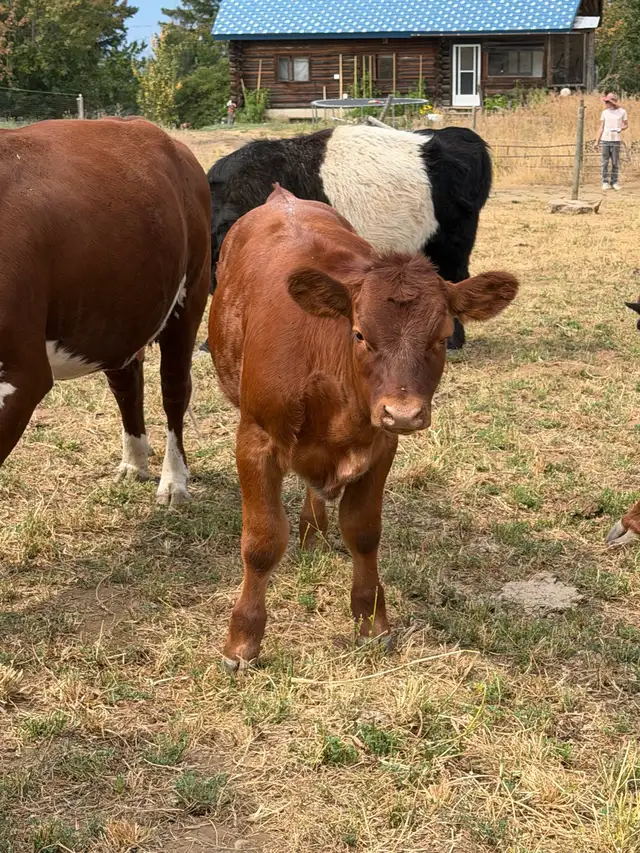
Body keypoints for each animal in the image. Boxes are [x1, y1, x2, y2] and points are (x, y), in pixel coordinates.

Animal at [0, 118, 210, 505]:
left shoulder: (22, 372)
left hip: (191, 293)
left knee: (174, 388)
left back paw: (174, 481)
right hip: (120, 309)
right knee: (126, 382)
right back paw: (134, 462)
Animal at [209, 185, 518, 669]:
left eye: (442, 336)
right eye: (359, 334)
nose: (404, 412)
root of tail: (283, 196)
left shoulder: (380, 444)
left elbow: (364, 532)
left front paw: (372, 621)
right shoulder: (254, 439)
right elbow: (261, 543)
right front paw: (243, 640)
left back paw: (313, 532)